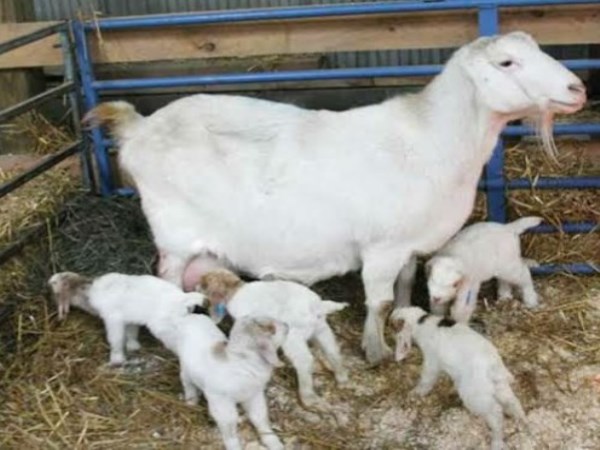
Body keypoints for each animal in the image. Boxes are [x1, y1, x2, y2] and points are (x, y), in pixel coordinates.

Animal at [84, 33, 584, 368]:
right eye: (506, 62)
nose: (577, 89)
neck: (432, 139)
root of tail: (139, 127)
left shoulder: (405, 245)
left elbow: (404, 287)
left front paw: (398, 323)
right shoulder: (380, 249)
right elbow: (377, 302)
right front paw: (375, 349)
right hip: (174, 235)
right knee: (168, 278)